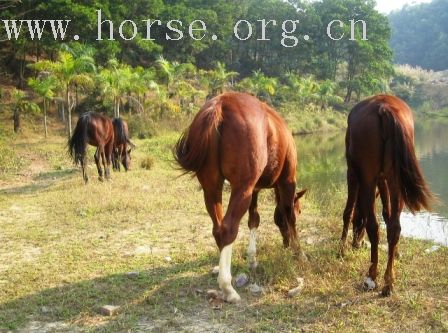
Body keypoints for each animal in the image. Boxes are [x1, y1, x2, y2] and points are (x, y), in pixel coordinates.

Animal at [173, 92, 306, 302]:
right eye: (300, 210)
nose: (285, 244)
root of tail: (221, 104)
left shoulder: (254, 190)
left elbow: (254, 220)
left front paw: (252, 259)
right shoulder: (287, 181)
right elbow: (289, 215)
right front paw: (299, 252)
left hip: (212, 188)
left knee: (218, 229)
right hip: (242, 188)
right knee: (228, 229)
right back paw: (227, 288)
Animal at [342, 94, 432, 294]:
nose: (356, 243)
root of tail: (385, 107)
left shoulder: (353, 172)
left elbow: (349, 210)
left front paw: (341, 248)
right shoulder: (382, 179)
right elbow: (387, 213)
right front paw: (395, 252)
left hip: (368, 178)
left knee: (373, 226)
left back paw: (372, 275)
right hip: (395, 177)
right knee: (394, 227)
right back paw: (389, 281)